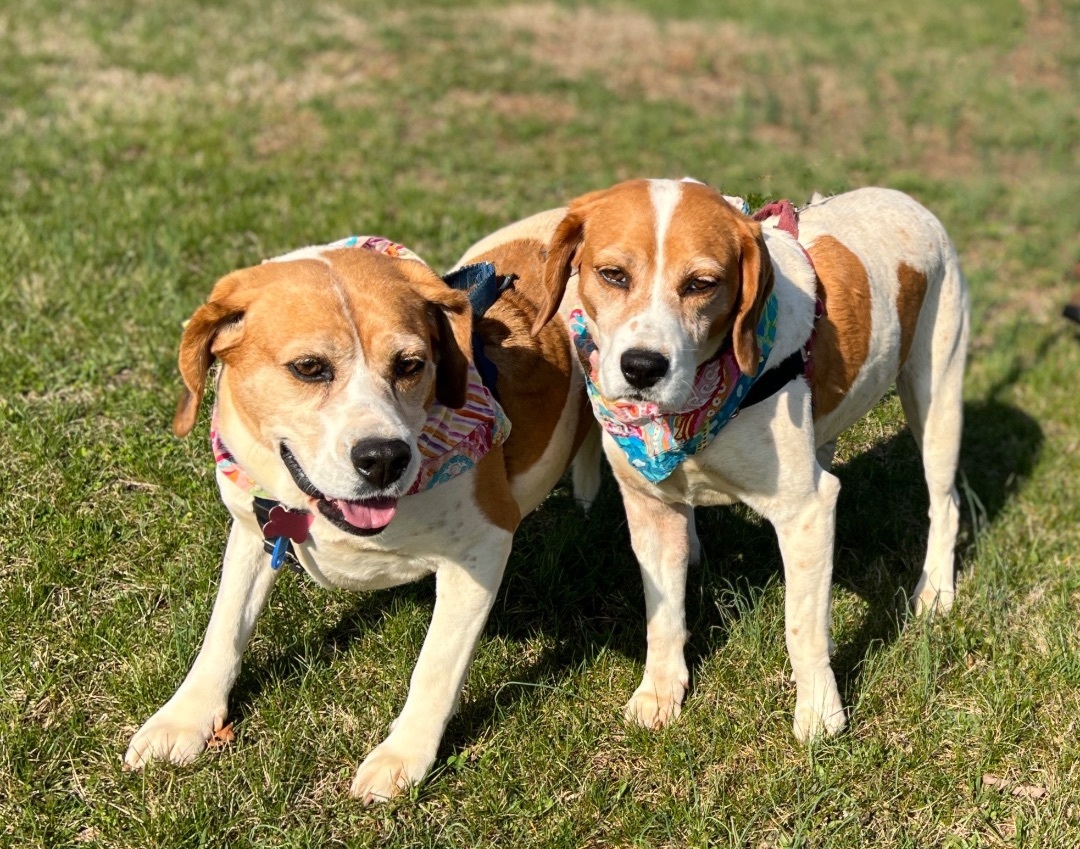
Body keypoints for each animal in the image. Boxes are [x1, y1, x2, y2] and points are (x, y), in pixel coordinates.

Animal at [126, 234, 591, 799]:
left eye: (410, 364)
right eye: (309, 368)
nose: (385, 458)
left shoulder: (483, 548)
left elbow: (435, 668)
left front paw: (404, 755)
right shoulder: (255, 530)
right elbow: (224, 630)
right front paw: (185, 719)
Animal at [527, 180, 976, 743]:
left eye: (701, 284)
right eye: (613, 275)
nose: (643, 367)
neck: (691, 413)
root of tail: (903, 197)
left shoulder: (806, 512)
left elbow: (802, 626)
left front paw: (820, 714)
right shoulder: (650, 508)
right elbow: (662, 616)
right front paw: (659, 694)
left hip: (935, 399)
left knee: (946, 502)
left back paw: (935, 590)